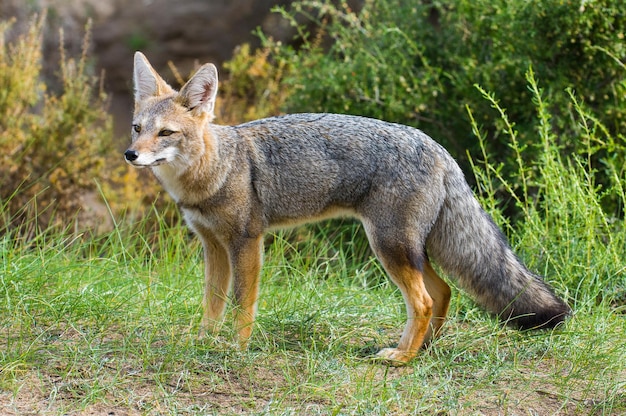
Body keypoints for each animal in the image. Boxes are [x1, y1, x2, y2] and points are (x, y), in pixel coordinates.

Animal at [124, 52, 568, 364]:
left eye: (166, 134)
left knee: (424, 300)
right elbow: (213, 302)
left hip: (389, 247)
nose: (130, 154)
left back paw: (402, 358)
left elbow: (241, 303)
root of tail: (437, 147)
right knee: (441, 293)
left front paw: (236, 347)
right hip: (407, 249)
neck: (214, 170)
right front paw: (203, 341)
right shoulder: (213, 246)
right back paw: (423, 349)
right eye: (137, 128)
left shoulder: (246, 242)